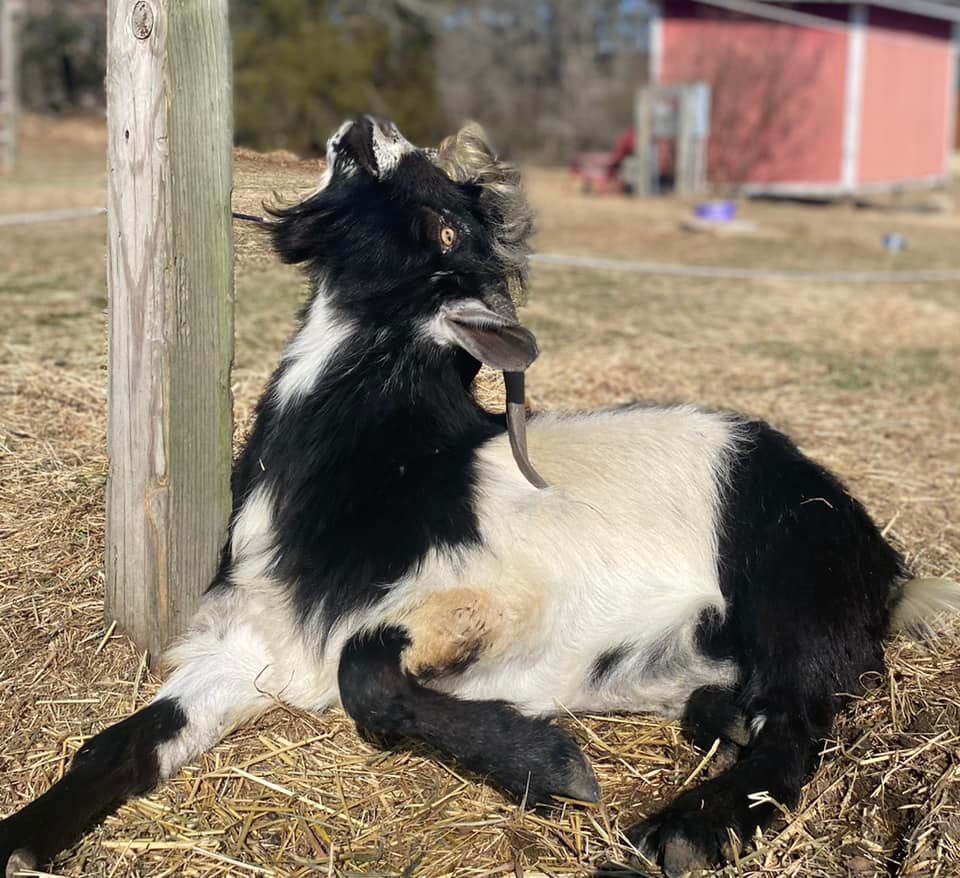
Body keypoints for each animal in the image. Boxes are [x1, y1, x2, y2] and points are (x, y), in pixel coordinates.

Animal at [2, 116, 958, 878]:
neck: (383, 470)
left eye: (444, 224)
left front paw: (553, 767)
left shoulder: (493, 598)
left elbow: (363, 672)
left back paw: (686, 829)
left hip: (788, 584)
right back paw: (719, 718)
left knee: (798, 727)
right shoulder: (249, 647)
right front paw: (22, 838)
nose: (367, 127)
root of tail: (883, 562)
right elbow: (118, 743)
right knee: (760, 709)